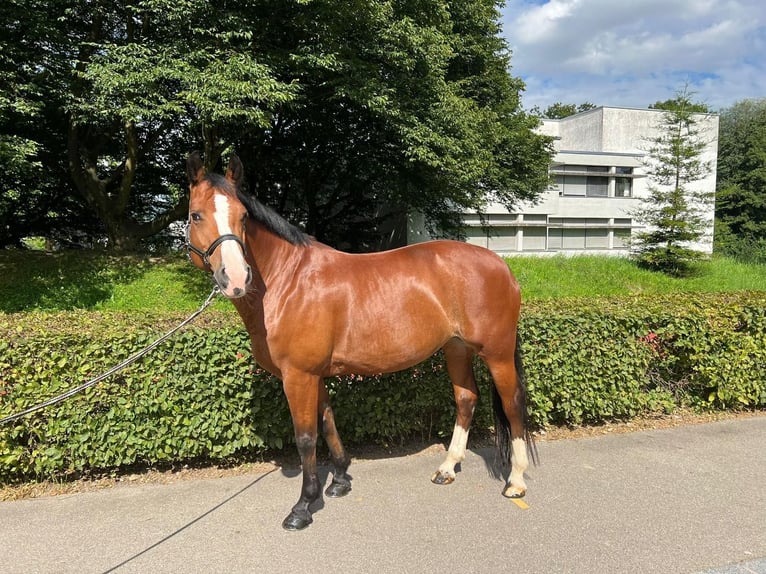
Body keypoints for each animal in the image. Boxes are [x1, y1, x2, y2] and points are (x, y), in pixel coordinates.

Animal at [186, 152, 536, 532]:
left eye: (244, 217)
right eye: (196, 214)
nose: (236, 278)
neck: (288, 280)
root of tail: (502, 265)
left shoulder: (298, 376)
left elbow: (306, 438)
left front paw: (303, 506)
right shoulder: (314, 375)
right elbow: (328, 422)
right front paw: (339, 481)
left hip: (497, 353)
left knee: (513, 404)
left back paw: (516, 481)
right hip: (456, 349)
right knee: (466, 399)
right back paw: (447, 468)